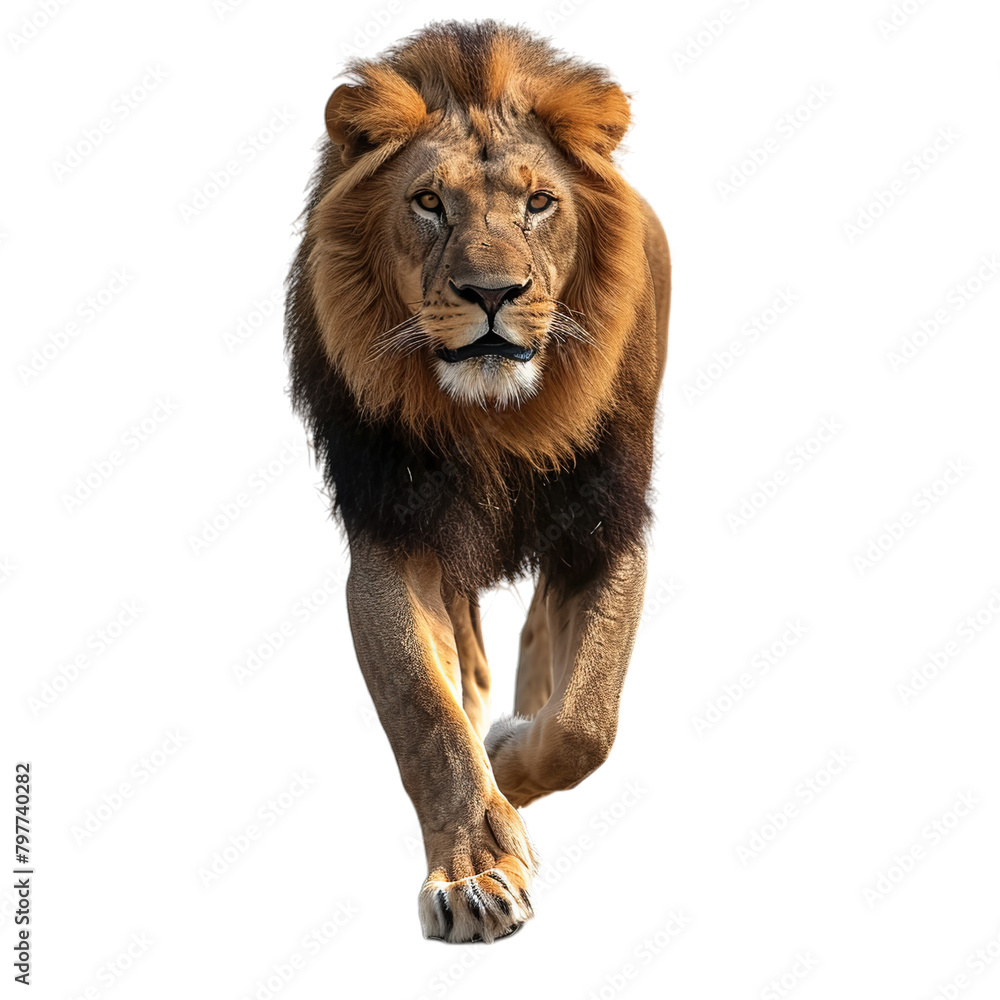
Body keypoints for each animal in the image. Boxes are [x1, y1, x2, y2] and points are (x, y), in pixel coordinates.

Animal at [285, 20, 670, 943]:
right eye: (430, 202)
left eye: (539, 204)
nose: (492, 293)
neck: (496, 422)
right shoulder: (394, 532)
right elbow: (426, 714)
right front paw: (473, 873)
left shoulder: (607, 517)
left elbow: (587, 718)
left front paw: (510, 763)